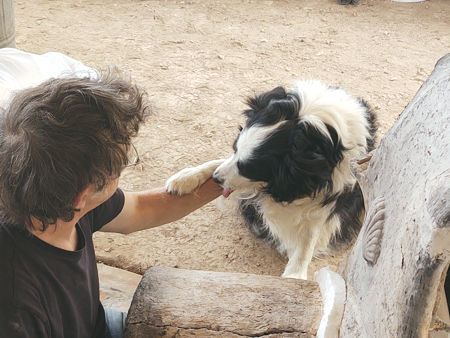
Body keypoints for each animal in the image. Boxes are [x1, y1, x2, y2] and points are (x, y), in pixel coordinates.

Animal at [166, 80, 376, 280]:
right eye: (234, 147)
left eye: (249, 168)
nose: (217, 179)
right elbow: (220, 162)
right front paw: (183, 179)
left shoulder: (335, 189)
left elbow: (311, 232)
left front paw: (295, 275)